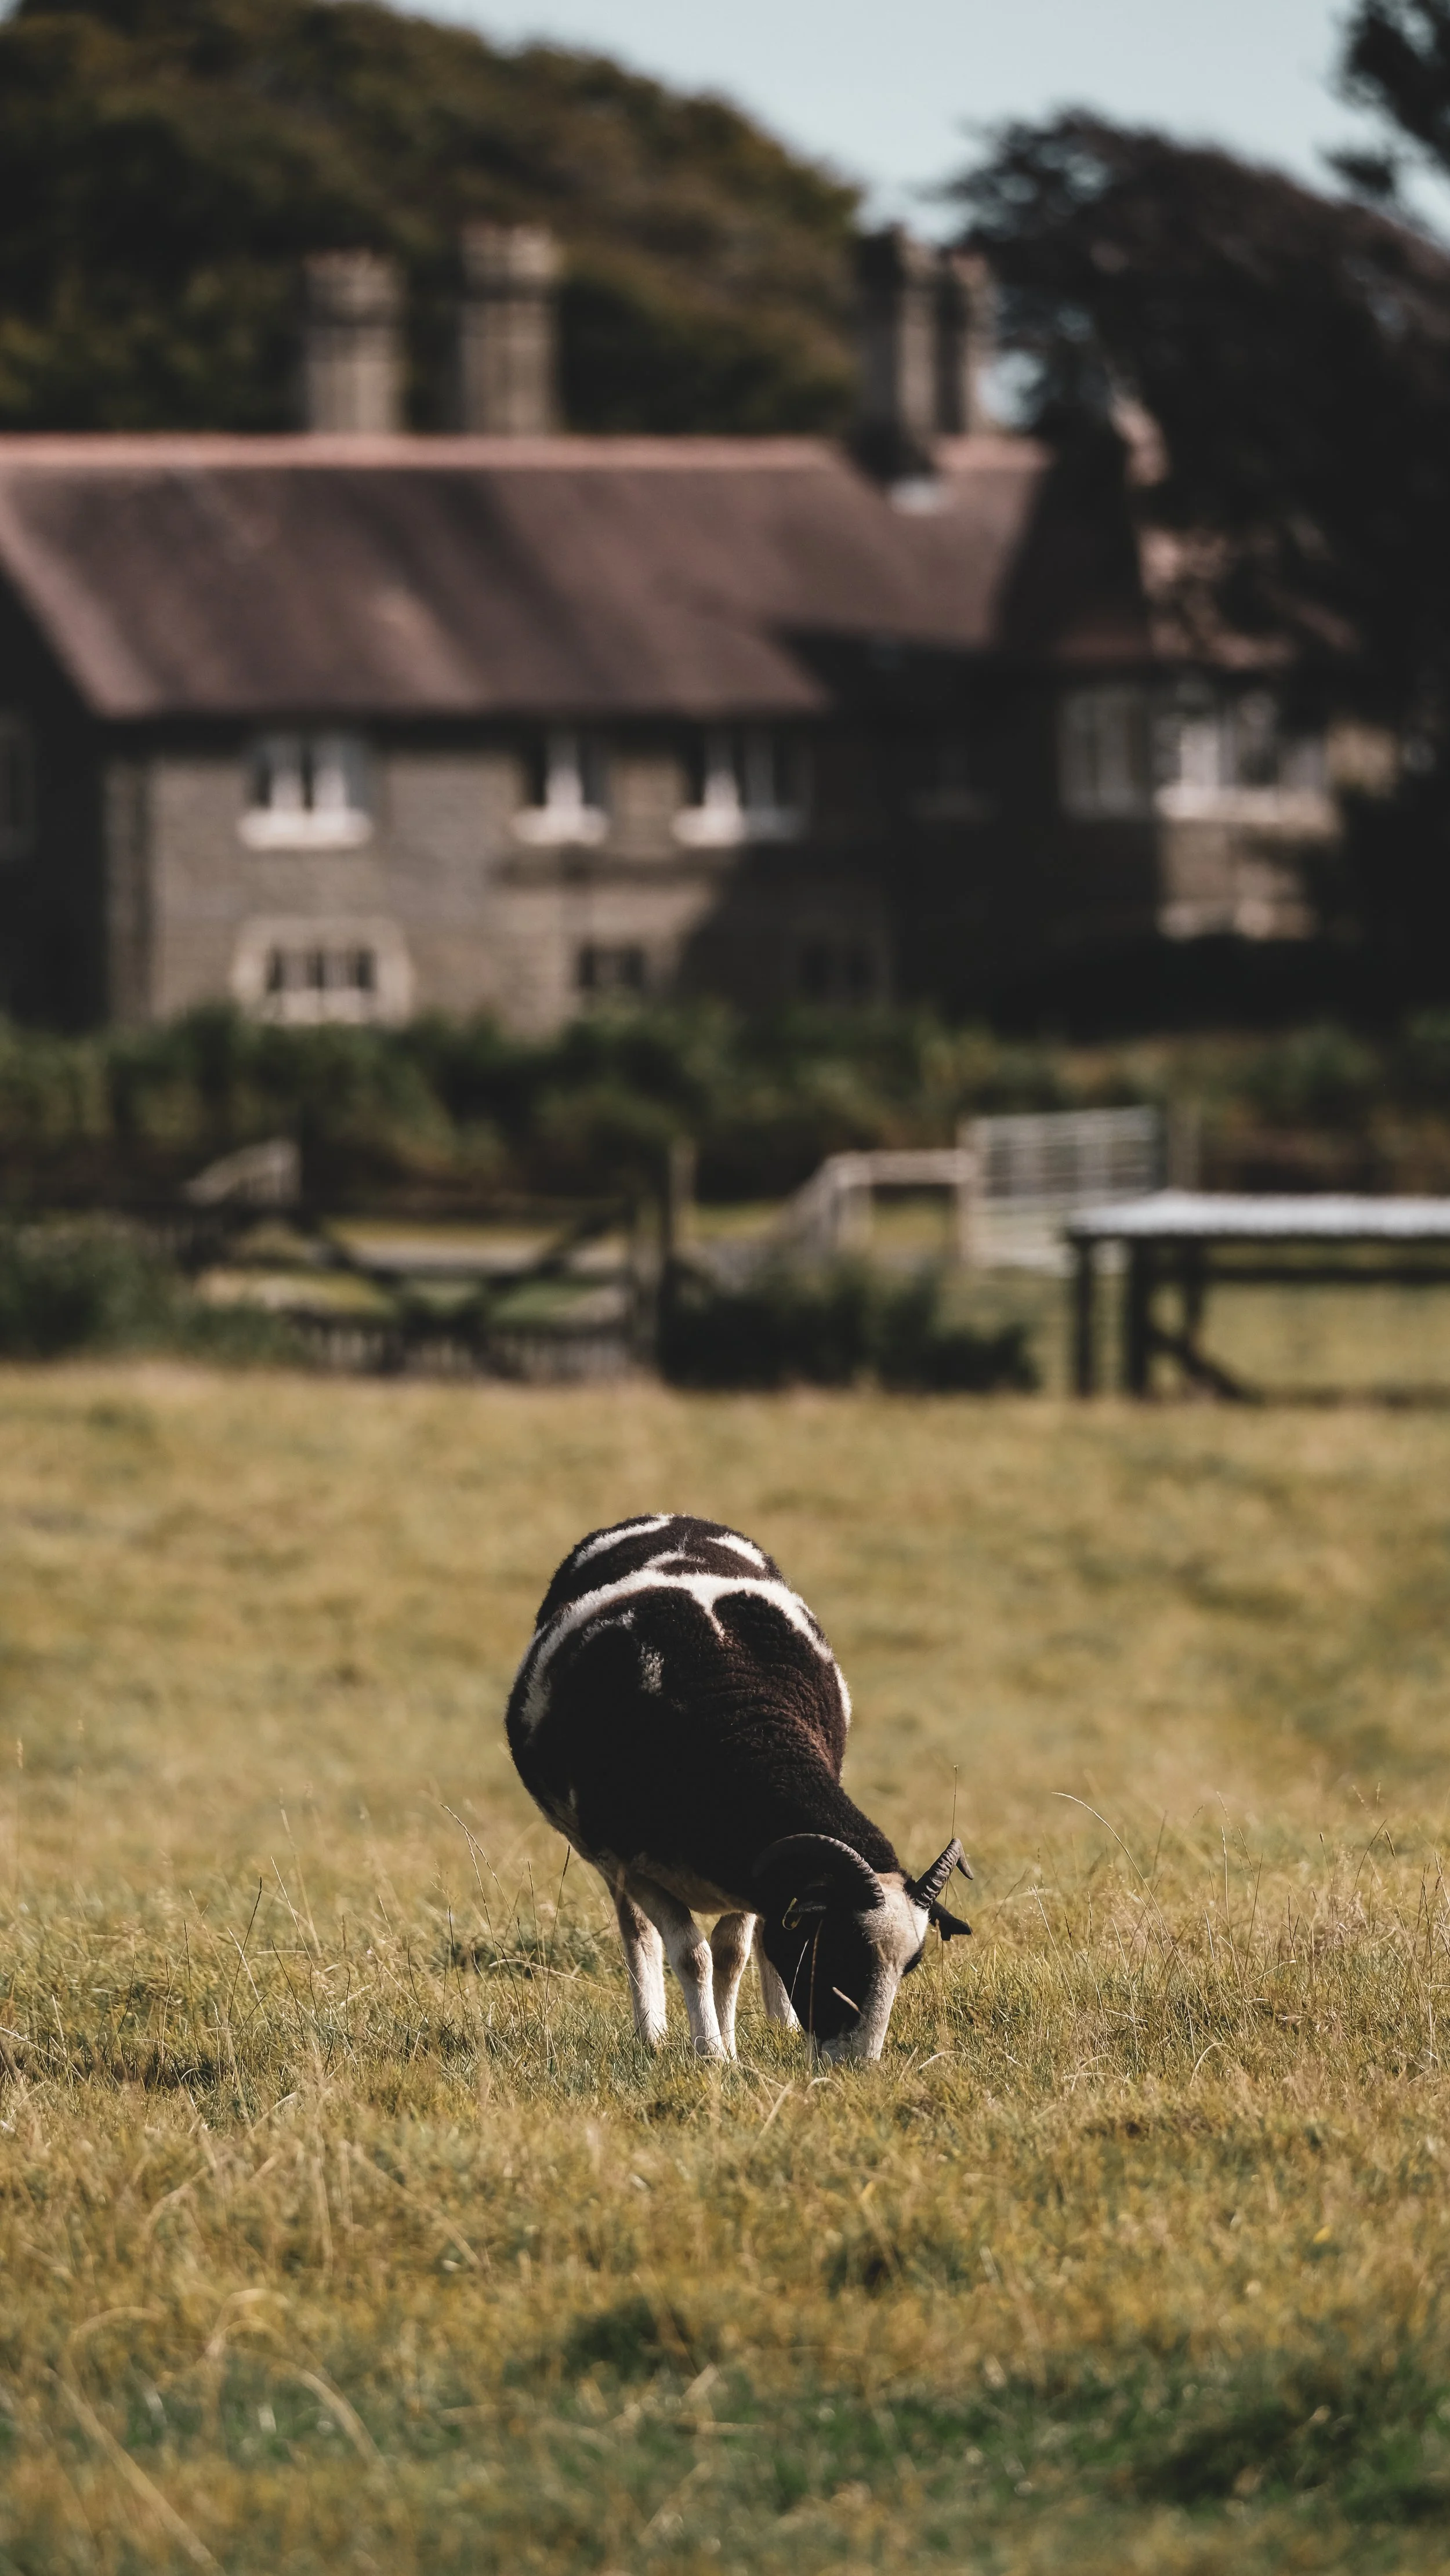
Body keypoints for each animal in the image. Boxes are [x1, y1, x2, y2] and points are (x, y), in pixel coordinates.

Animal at [505, 1513, 971, 2061]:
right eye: (831, 1950)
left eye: (910, 1966)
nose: (856, 2066)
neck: (743, 1724)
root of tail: (667, 1518)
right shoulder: (631, 1863)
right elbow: (692, 1955)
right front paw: (710, 2053)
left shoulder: (755, 1872)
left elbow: (732, 1953)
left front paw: (727, 2045)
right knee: (639, 1934)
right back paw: (652, 2031)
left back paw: (779, 2022)